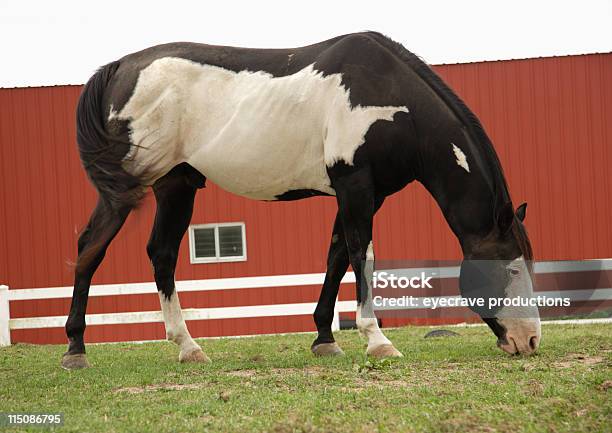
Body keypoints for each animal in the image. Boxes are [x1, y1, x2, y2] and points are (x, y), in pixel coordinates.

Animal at [62, 31, 540, 368]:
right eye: (511, 269)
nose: (531, 340)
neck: (390, 98)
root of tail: (122, 67)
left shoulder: (363, 194)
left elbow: (337, 257)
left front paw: (325, 340)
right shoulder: (355, 187)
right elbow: (362, 256)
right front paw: (377, 341)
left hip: (176, 185)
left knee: (159, 253)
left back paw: (188, 347)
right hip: (132, 188)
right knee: (91, 248)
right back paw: (76, 348)